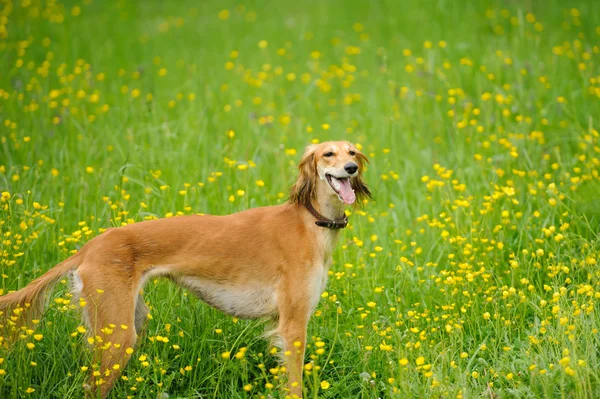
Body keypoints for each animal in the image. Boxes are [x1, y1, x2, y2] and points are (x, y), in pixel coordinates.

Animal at [0, 141, 370, 399]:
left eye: (352, 151)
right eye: (328, 154)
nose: (351, 168)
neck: (310, 220)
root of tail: (90, 246)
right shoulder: (292, 325)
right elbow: (294, 385)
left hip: (126, 322)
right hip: (118, 334)